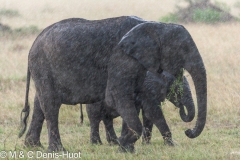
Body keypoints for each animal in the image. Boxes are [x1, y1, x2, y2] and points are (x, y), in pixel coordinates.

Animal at [18, 16, 206, 152]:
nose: (188, 131)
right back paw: (58, 151)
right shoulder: (121, 58)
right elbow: (119, 97)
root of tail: (33, 43)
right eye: (182, 50)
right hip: (42, 65)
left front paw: (126, 148)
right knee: (51, 105)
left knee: (39, 104)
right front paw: (123, 144)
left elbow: (134, 101)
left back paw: (33, 146)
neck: (152, 24)